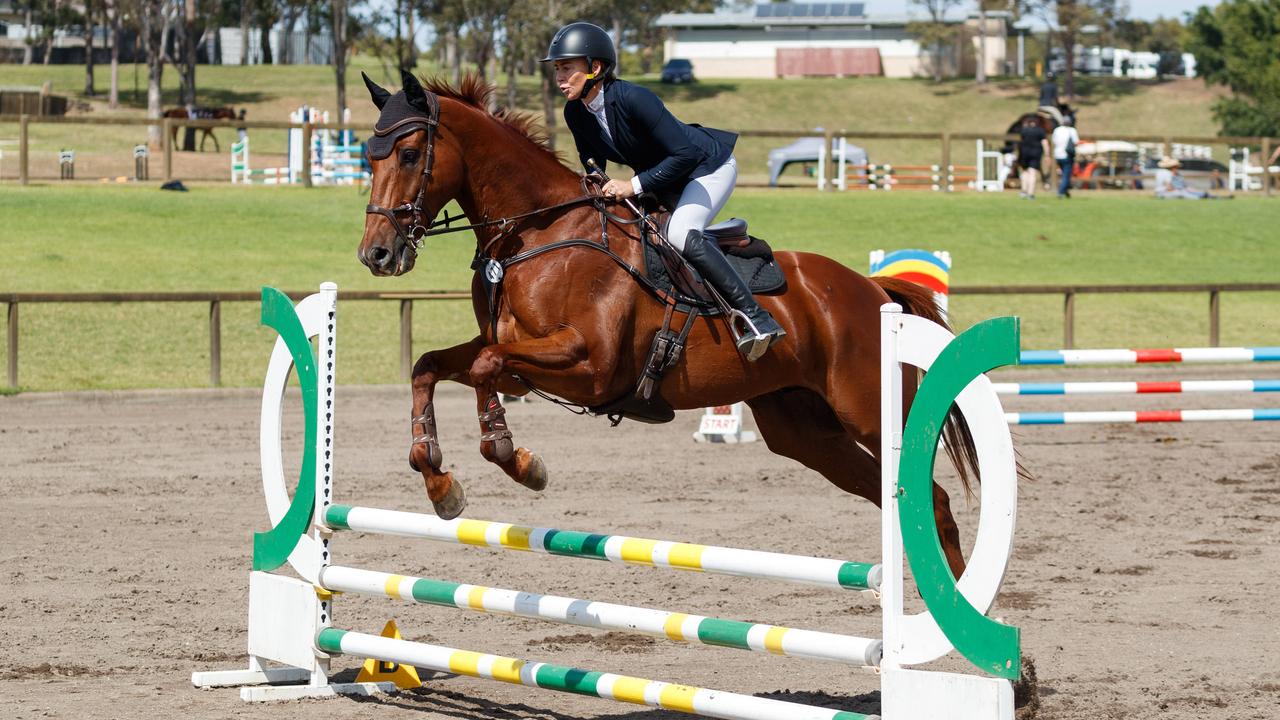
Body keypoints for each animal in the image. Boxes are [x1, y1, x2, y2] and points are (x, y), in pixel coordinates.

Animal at [360, 71, 988, 576]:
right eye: (368, 155)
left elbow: (486, 370)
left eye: (410, 153)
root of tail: (869, 288)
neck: (536, 234)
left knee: (931, 500)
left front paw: (517, 459)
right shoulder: (518, 355)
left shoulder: (588, 365)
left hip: (871, 414)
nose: (377, 255)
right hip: (806, 432)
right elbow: (431, 367)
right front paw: (440, 482)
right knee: (893, 497)